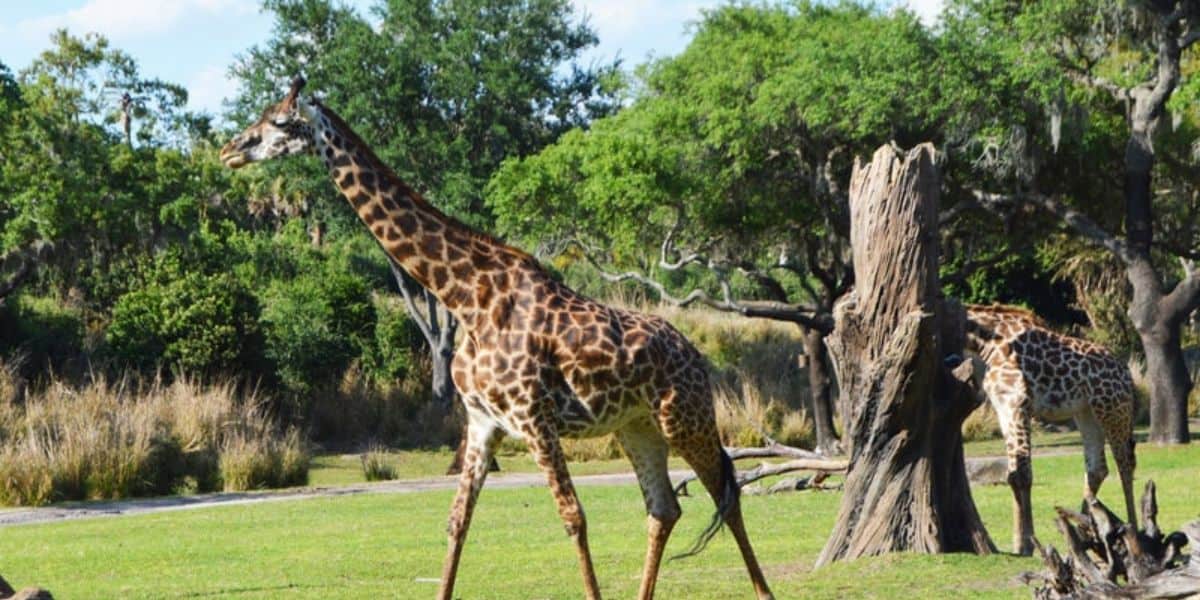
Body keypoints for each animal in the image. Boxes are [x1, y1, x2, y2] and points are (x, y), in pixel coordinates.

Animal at [220, 78, 774, 600]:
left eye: (280, 122)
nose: (229, 150)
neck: (466, 296)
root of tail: (698, 357)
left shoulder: (534, 417)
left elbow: (574, 518)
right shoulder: (483, 421)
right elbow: (457, 522)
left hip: (685, 419)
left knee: (726, 494)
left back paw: (764, 591)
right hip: (636, 427)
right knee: (664, 509)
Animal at [965, 304, 1137, 555]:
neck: (987, 344)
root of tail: (1126, 373)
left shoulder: (1018, 402)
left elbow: (1023, 474)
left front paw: (1027, 543)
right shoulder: (1003, 406)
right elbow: (1012, 474)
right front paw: (1019, 542)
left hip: (1112, 409)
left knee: (1125, 463)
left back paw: (1135, 528)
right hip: (1086, 412)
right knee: (1097, 468)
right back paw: (1086, 530)